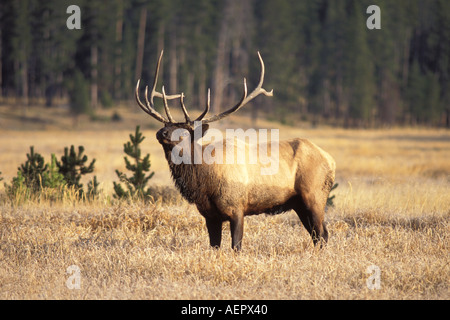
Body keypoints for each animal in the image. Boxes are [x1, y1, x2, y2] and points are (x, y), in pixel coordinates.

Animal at [135, 50, 336, 250]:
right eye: (166, 125)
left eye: (184, 132)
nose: (161, 132)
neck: (204, 183)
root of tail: (331, 160)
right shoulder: (210, 215)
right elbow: (214, 246)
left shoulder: (236, 207)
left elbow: (236, 246)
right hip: (299, 203)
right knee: (317, 235)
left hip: (315, 195)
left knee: (323, 233)